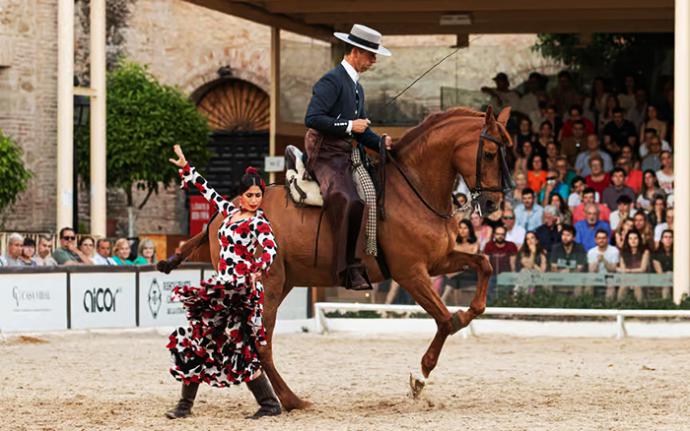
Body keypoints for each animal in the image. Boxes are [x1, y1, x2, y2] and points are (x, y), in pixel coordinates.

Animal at [160, 105, 513, 411]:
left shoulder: (439, 261)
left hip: (277, 284)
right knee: (258, 342)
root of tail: (224, 210)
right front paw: (420, 377)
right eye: (490, 153)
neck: (414, 189)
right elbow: (445, 320)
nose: (494, 204)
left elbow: (482, 268)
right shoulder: (411, 272)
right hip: (266, 285)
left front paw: (469, 314)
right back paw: (289, 400)